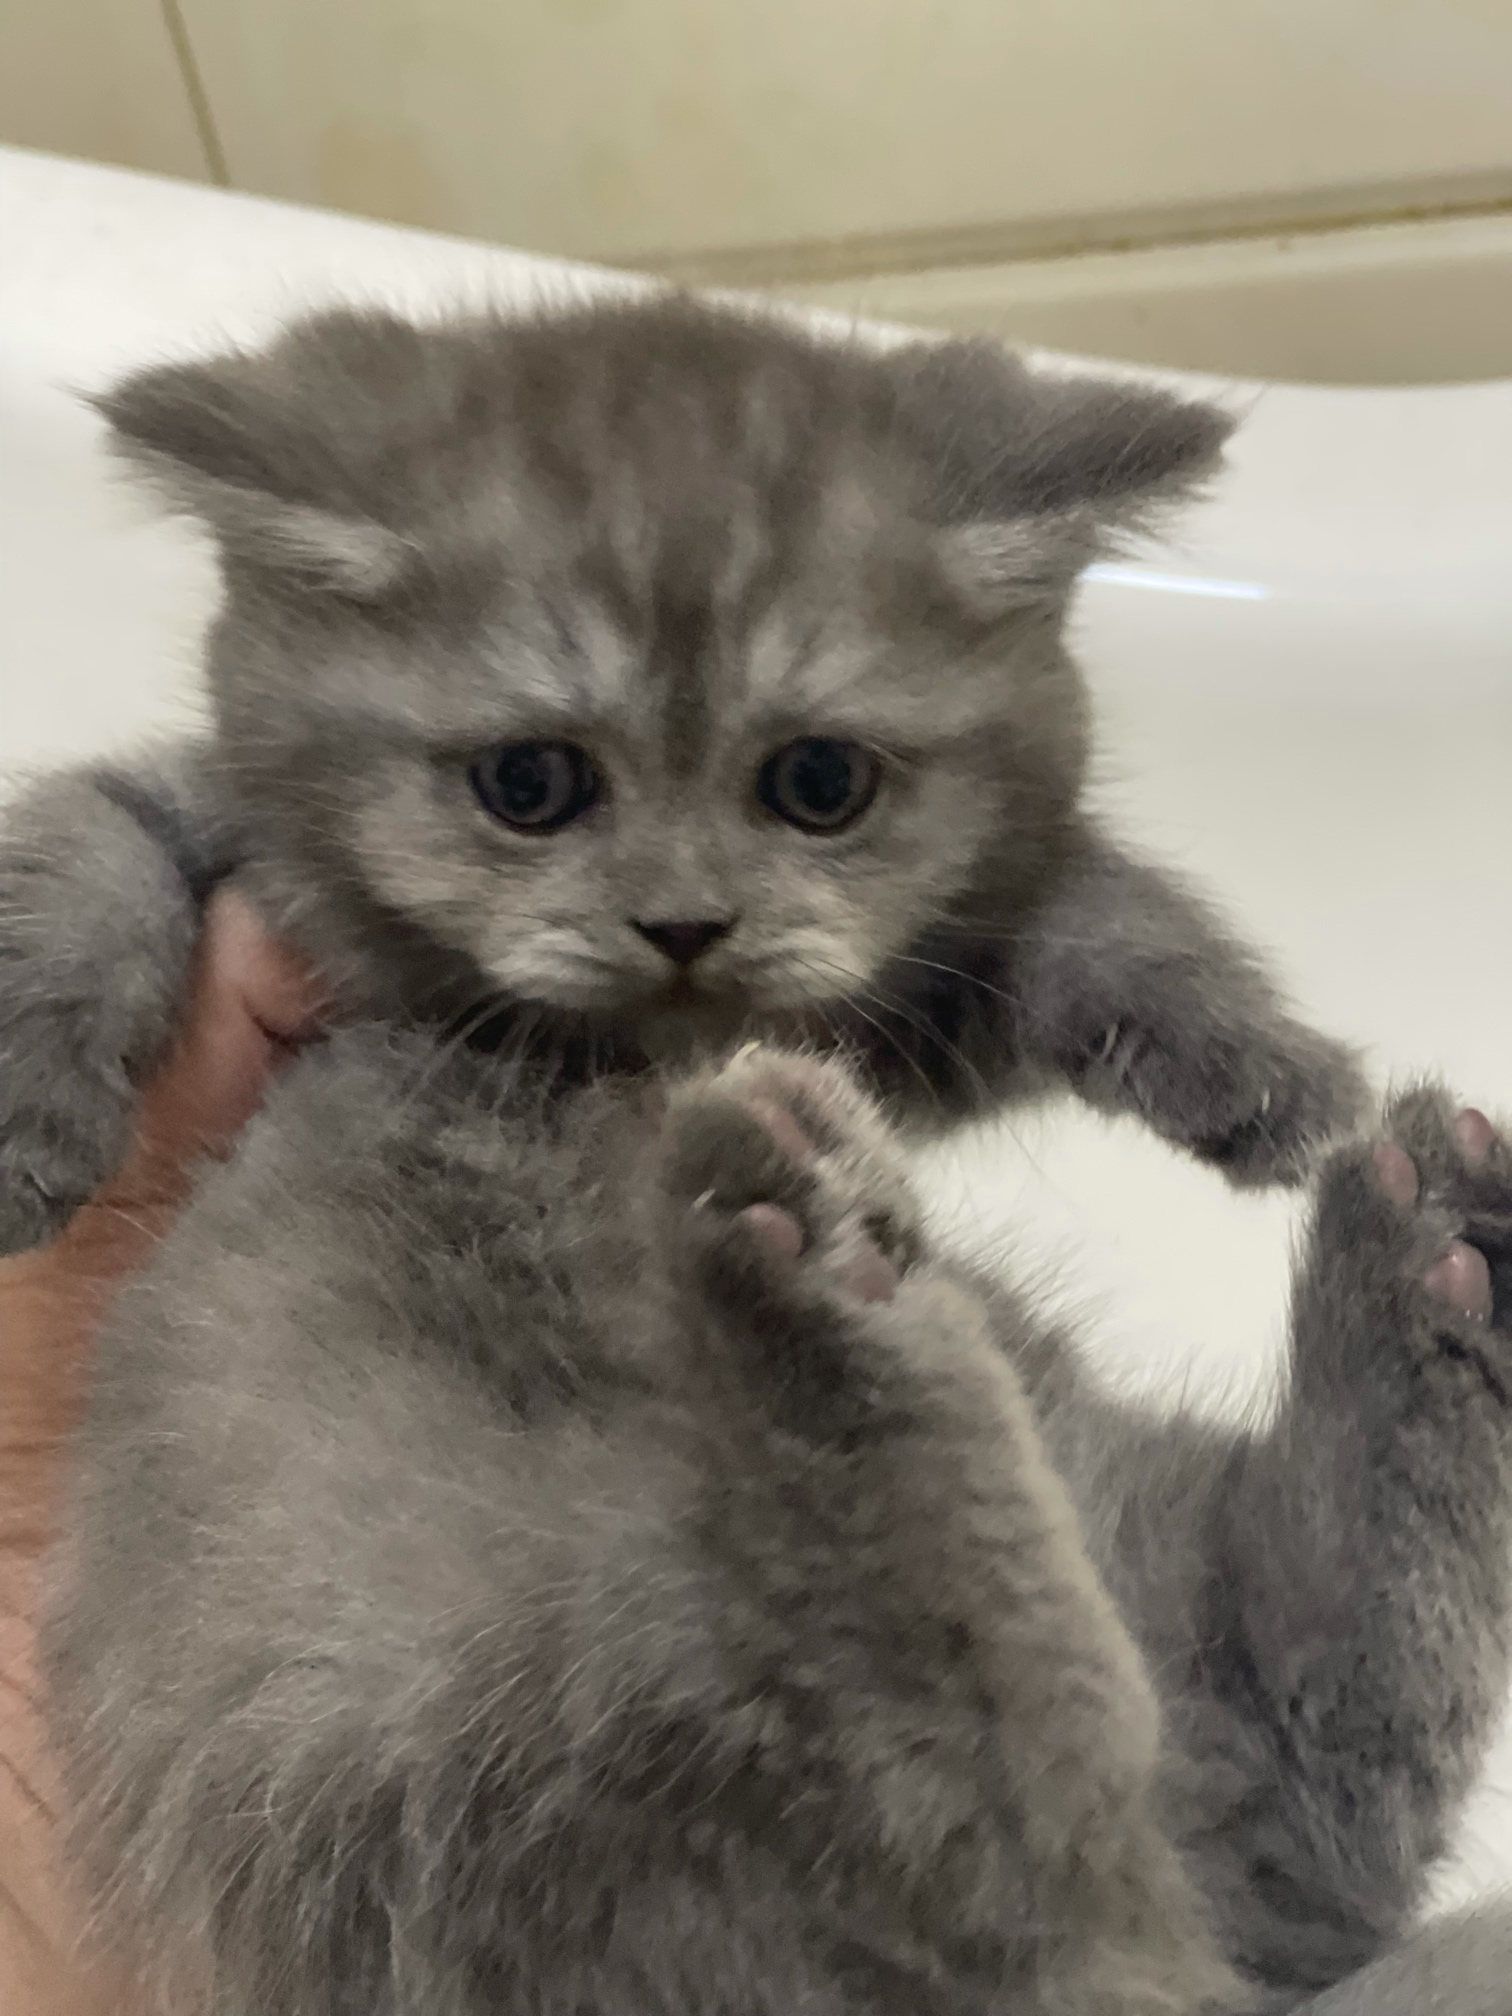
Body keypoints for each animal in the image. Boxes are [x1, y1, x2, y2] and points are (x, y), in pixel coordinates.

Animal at [4, 294, 1512, 2014]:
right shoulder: (225, 842)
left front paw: (1247, 1053)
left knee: (1239, 1775)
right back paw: (835, 1280)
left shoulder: (889, 1020)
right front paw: (32, 1103)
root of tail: (1187, 1954)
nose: (683, 924)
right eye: (530, 784)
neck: (617, 1059)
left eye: (819, 783)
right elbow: (85, 847)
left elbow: (1059, 909)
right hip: (512, 1717)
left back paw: (1424, 1267)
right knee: (1024, 1793)